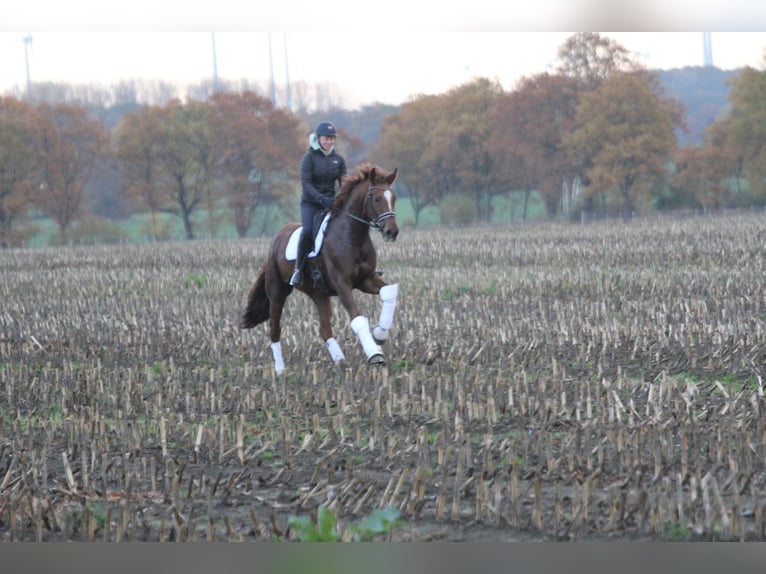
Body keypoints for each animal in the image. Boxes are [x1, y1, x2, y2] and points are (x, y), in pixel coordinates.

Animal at [240, 163, 400, 374]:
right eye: (377, 198)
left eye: (394, 198)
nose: (392, 232)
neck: (352, 236)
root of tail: (277, 238)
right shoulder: (342, 285)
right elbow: (357, 317)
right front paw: (375, 355)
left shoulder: (366, 280)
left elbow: (389, 291)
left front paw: (380, 334)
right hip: (277, 293)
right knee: (275, 328)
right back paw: (281, 371)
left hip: (319, 294)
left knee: (324, 329)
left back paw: (341, 362)